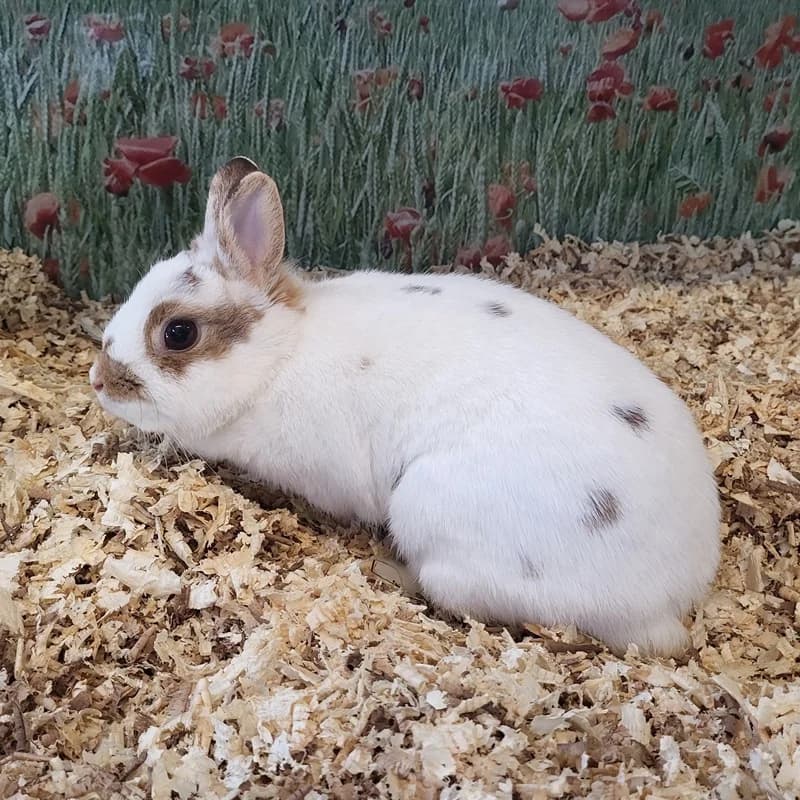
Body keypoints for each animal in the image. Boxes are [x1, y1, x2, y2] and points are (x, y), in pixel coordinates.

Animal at [90, 156, 721, 657]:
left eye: (178, 333)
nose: (100, 381)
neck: (278, 356)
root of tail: (670, 598)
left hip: (435, 520)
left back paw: (391, 571)